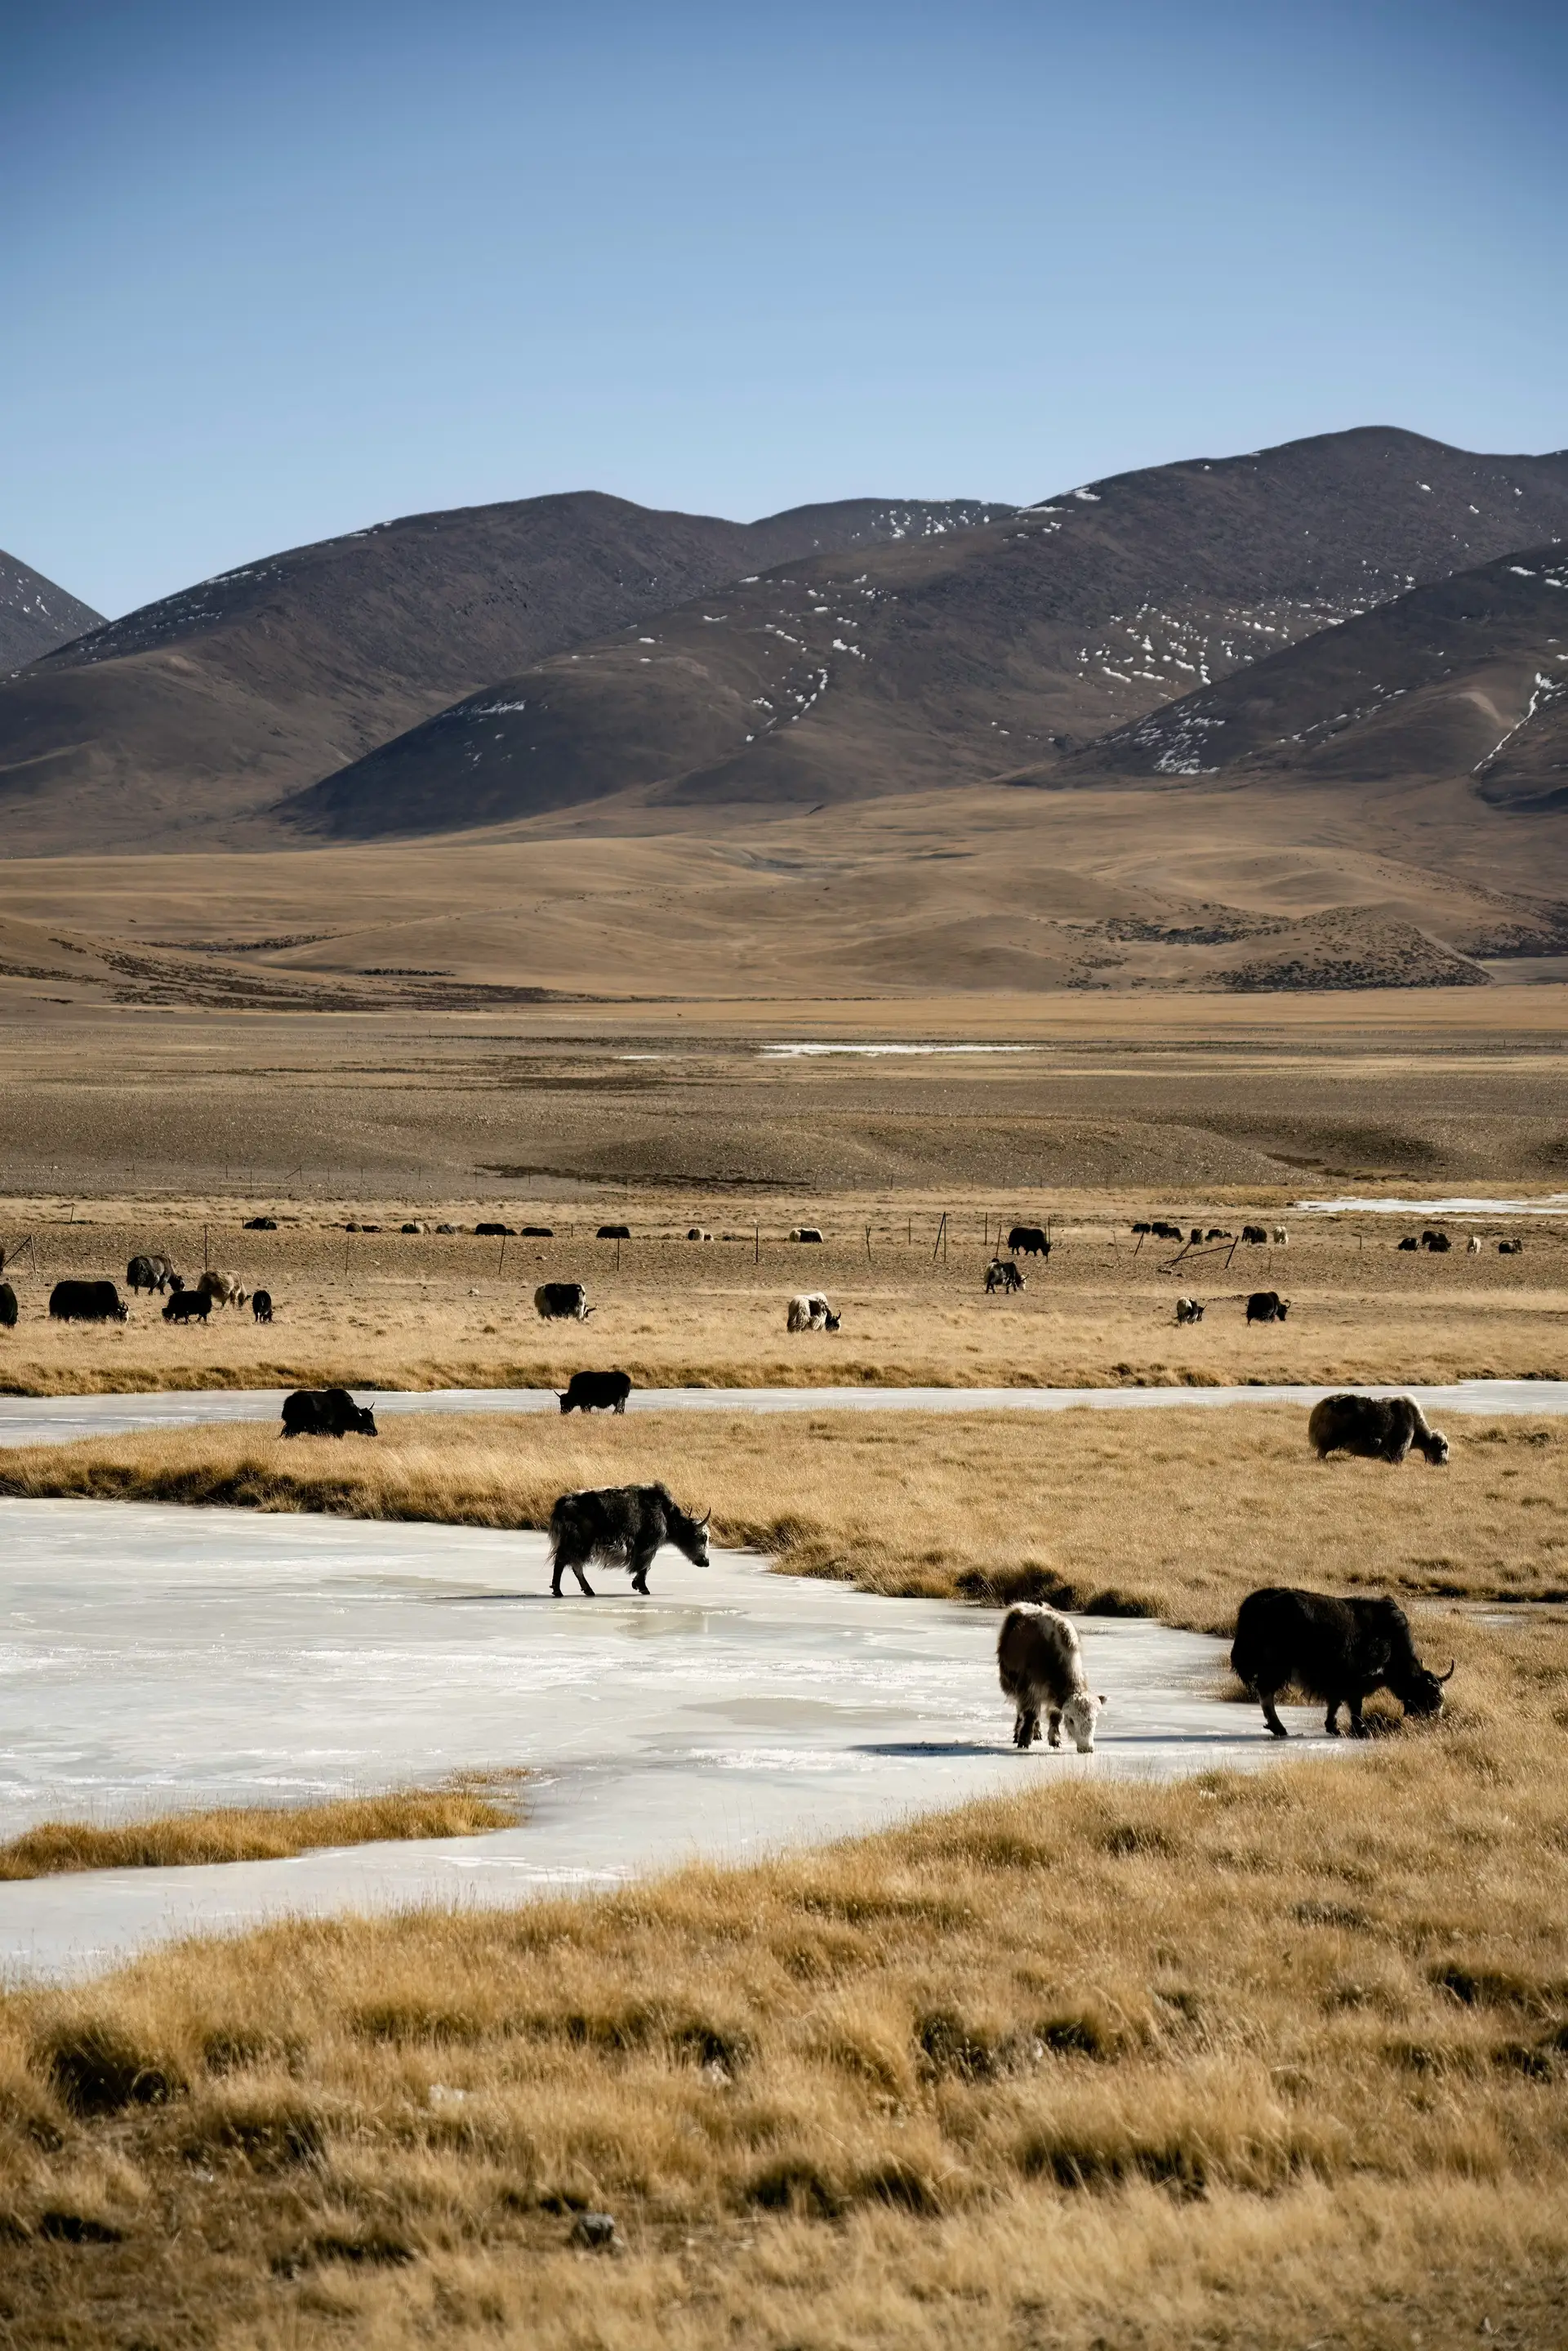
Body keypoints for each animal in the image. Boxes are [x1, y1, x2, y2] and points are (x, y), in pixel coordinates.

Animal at [547, 1483, 711, 1596]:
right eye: (702, 1538)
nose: (706, 1562)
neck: (666, 1515)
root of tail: (561, 1504)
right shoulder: (648, 1544)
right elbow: (646, 1565)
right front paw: (642, 1587)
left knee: (574, 1564)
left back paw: (587, 1591)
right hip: (579, 1541)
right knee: (564, 1561)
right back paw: (559, 1591)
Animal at [996, 1604, 1105, 1753]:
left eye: (1095, 1718)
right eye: (1071, 1720)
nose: (1087, 1748)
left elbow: (1055, 1717)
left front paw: (1055, 1741)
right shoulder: (1030, 1688)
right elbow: (1030, 1714)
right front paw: (1024, 1741)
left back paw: (1037, 1734)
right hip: (1015, 1686)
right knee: (1021, 1711)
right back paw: (1018, 1734)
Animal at [1230, 1587, 1453, 1740]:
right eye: (1433, 1697)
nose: (1435, 1724)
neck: (1391, 1644)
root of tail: (1254, 1605)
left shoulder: (1339, 1683)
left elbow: (1335, 1704)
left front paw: (1334, 1727)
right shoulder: (1357, 1679)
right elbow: (1355, 1706)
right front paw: (1360, 1730)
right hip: (1276, 1667)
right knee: (1266, 1692)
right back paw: (1280, 1728)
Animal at [1307, 1393, 1449, 1466]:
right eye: (1443, 1448)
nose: (1445, 1463)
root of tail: (1321, 1406)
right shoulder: (1400, 1444)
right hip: (1332, 1436)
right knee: (1322, 1450)